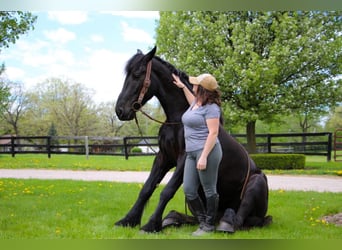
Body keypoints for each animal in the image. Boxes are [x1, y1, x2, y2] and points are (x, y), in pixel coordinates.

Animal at [115, 46, 272, 232]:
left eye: (137, 74)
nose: (120, 110)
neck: (178, 119)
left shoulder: (185, 159)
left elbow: (167, 191)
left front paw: (151, 224)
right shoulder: (164, 157)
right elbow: (146, 188)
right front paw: (128, 220)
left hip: (256, 184)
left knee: (240, 220)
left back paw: (227, 223)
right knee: (198, 217)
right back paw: (172, 219)